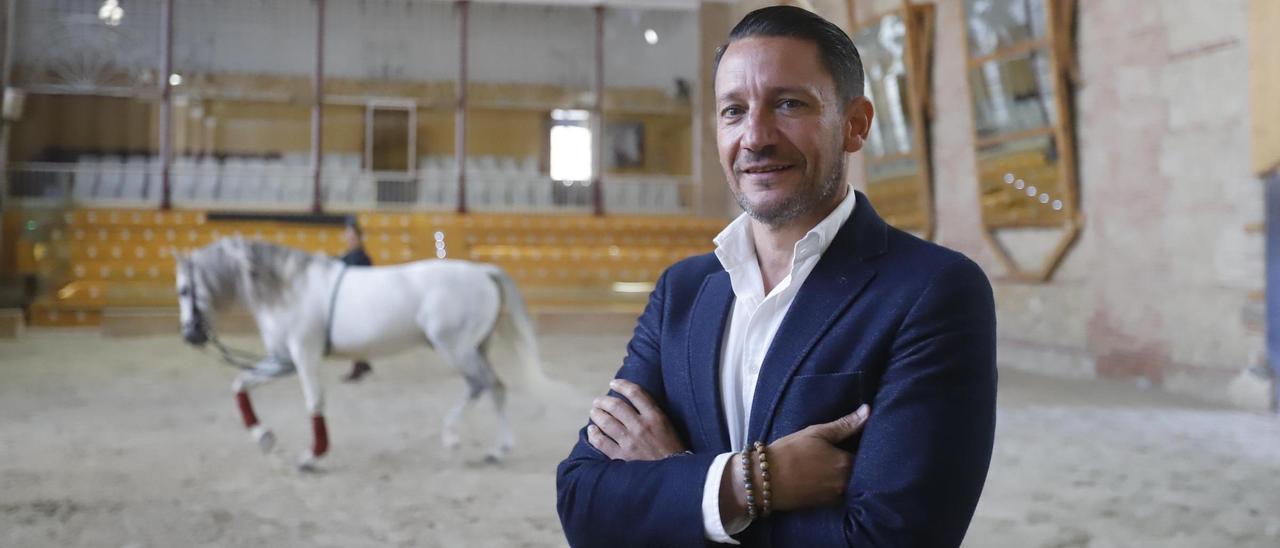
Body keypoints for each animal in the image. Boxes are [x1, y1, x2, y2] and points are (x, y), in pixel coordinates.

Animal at [175, 238, 545, 468]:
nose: (191, 335)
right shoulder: (283, 362)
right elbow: (241, 384)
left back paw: (452, 437)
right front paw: (264, 437)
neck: (288, 289)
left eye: (183, 290)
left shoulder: (304, 356)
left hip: (455, 348)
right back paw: (497, 451)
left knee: (480, 385)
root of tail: (482, 271)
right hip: (476, 349)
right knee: (496, 388)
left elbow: (314, 402)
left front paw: (312, 456)